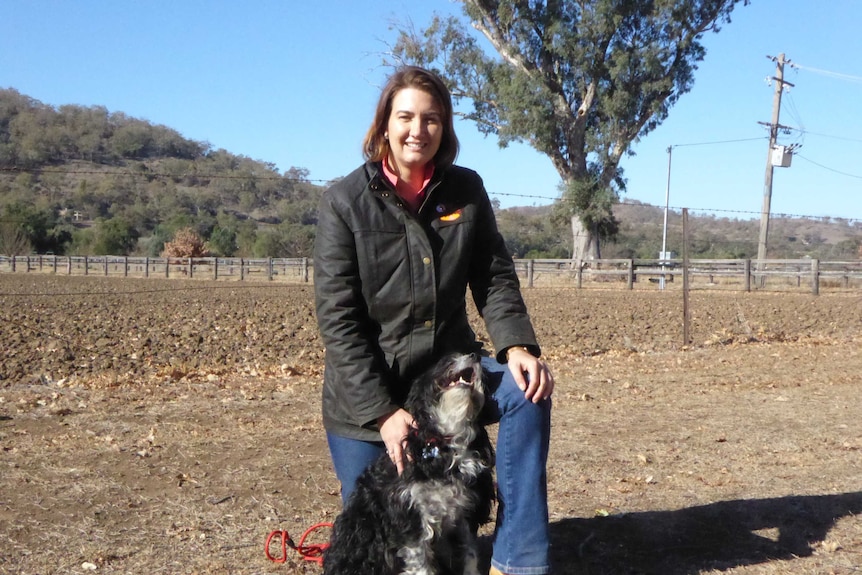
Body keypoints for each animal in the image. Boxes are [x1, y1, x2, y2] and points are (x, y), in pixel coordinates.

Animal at [326, 354, 500, 572]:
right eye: (448, 360)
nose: (475, 356)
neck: (446, 443)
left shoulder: (466, 515)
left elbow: (470, 555)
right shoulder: (412, 522)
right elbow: (421, 566)